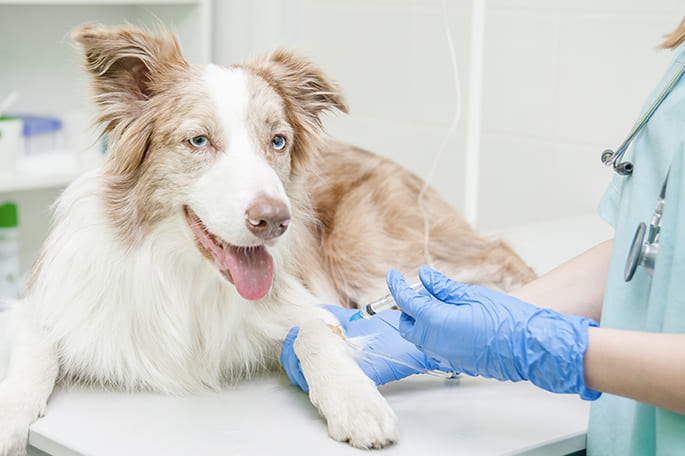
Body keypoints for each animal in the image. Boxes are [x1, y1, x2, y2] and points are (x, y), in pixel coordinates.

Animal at [0, 24, 536, 452]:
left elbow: (315, 331)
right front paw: (10, 418)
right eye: (199, 141)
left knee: (497, 254)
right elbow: (35, 346)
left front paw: (357, 403)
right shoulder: (48, 303)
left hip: (367, 250)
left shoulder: (301, 301)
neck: (187, 276)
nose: (276, 220)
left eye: (277, 141)